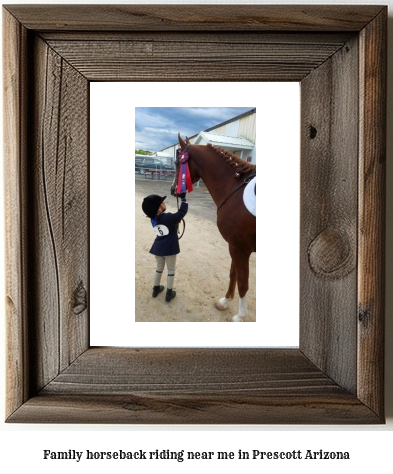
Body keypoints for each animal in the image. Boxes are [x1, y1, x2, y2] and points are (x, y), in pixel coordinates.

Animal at [171, 135, 256, 324]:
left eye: (177, 162)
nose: (173, 190)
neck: (235, 189)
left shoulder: (240, 249)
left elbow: (243, 283)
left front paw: (240, 316)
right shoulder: (235, 246)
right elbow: (233, 274)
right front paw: (225, 301)